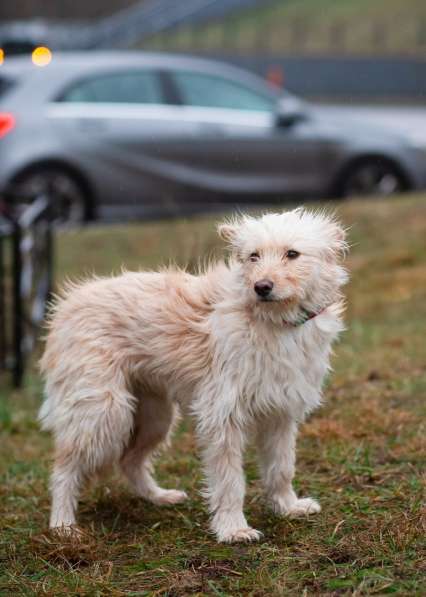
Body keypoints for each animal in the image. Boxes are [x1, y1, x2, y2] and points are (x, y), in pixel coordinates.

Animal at [38, 207, 348, 544]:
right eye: (253, 256)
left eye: (292, 254)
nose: (262, 287)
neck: (271, 321)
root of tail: (65, 307)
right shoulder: (222, 415)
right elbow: (229, 480)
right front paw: (233, 528)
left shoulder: (281, 413)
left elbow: (281, 467)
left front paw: (287, 507)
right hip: (103, 411)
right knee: (64, 468)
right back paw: (62, 524)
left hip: (154, 416)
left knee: (130, 460)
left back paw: (158, 496)